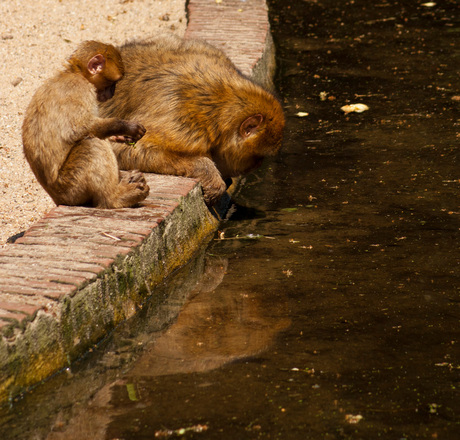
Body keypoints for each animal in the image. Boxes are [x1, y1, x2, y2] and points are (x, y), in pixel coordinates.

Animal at [22, 39, 149, 208]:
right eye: (113, 83)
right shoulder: (80, 88)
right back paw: (114, 197)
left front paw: (121, 137)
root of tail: (58, 198)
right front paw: (126, 127)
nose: (112, 93)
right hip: (71, 187)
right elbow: (78, 129)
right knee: (91, 144)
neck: (74, 73)